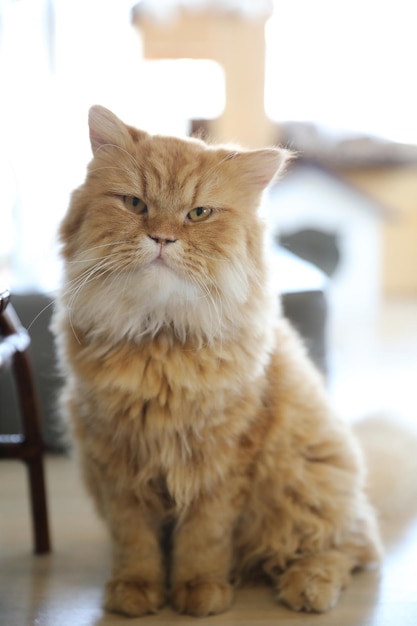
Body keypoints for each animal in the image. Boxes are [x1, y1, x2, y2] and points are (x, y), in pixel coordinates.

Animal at [51, 106, 380, 616]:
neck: (160, 336)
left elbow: (204, 537)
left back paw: (309, 586)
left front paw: (199, 591)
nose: (162, 238)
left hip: (306, 481)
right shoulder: (115, 458)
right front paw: (135, 591)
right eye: (135, 204)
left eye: (198, 213)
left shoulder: (222, 459)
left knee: (352, 547)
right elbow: (135, 540)